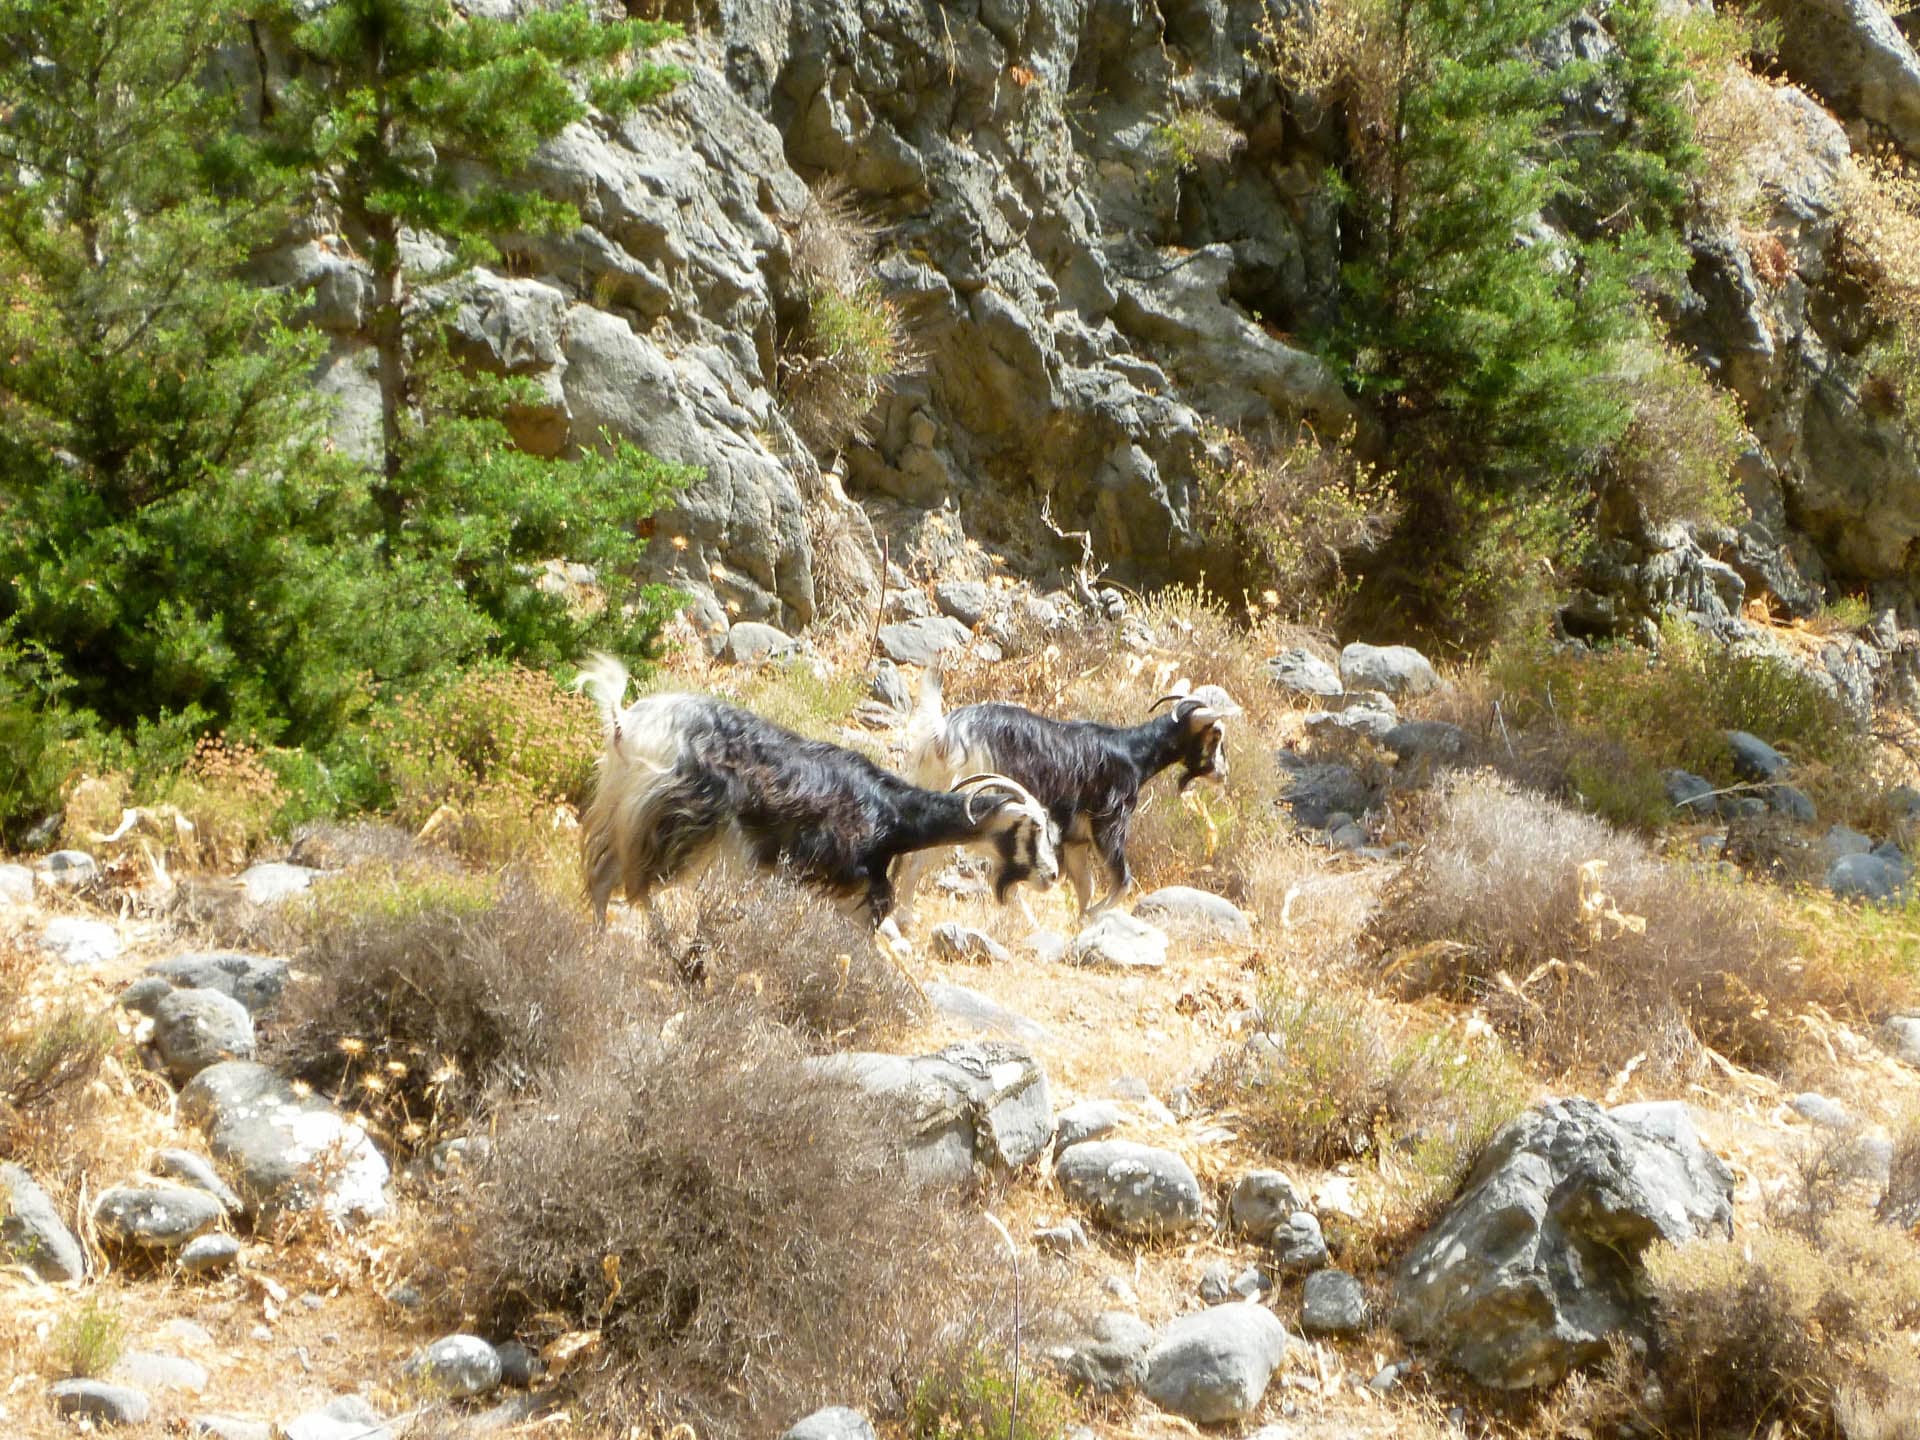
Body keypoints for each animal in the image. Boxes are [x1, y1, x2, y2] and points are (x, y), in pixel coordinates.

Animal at [575, 656, 1059, 944]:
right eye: (1030, 826)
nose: (1051, 876)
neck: (891, 815)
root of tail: (626, 724)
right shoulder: (846, 891)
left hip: (627, 817)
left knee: (602, 880)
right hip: (673, 825)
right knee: (636, 888)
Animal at [894, 668, 1242, 926]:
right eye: (1216, 733)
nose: (1224, 773)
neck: (1133, 753)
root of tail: (945, 735)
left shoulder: (1075, 841)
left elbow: (1085, 886)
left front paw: (1083, 921)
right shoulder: (1109, 827)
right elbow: (1123, 881)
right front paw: (1092, 916)